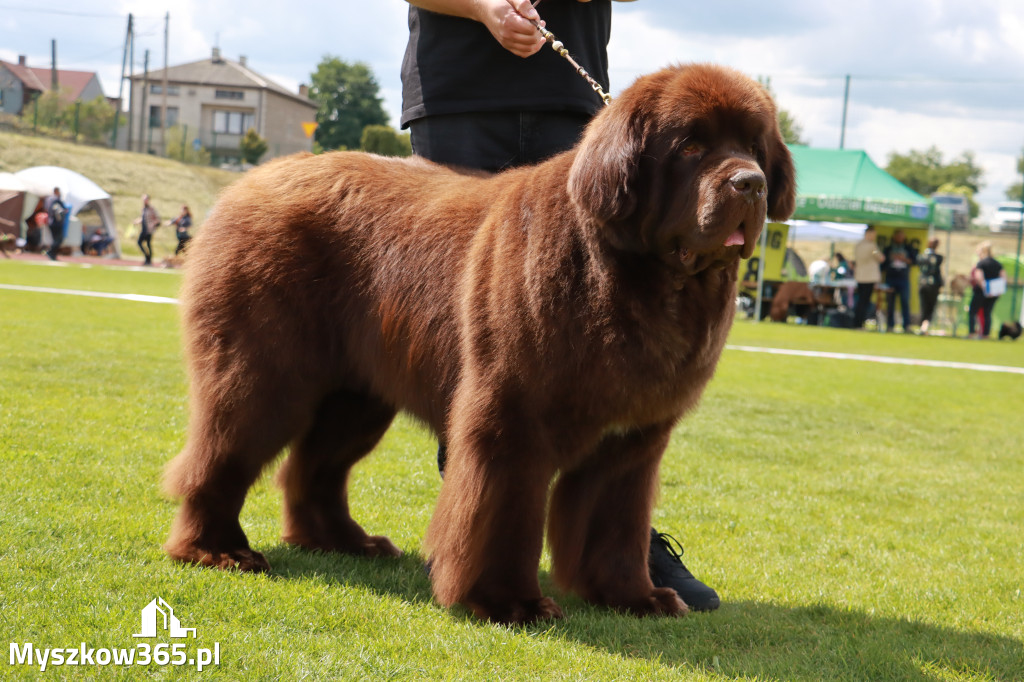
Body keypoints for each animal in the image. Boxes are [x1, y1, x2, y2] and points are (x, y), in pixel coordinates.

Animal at [163, 62, 794, 622]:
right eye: (690, 145)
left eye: (754, 145)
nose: (751, 184)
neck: (641, 276)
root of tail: (250, 180)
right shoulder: (513, 416)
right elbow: (503, 514)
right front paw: (508, 603)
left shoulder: (631, 441)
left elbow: (617, 525)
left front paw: (634, 597)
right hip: (265, 373)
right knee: (220, 455)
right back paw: (217, 549)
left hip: (358, 395)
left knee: (314, 469)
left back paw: (345, 542)